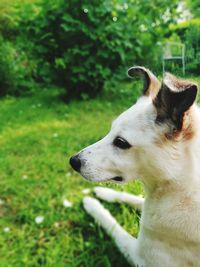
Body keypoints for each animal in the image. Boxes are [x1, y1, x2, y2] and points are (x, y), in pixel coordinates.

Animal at [69, 66, 200, 266]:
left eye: (121, 142)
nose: (73, 161)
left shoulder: (141, 257)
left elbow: (112, 225)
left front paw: (92, 205)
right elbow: (133, 198)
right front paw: (103, 193)